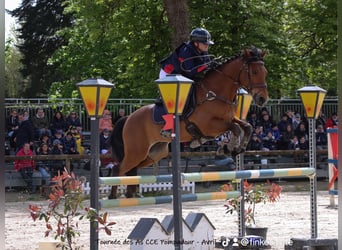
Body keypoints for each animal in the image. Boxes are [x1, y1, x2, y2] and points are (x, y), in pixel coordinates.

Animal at [109, 47, 268, 198]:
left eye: (264, 72)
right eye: (254, 72)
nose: (262, 99)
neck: (215, 93)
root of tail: (129, 118)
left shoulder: (228, 119)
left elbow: (247, 127)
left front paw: (237, 148)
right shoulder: (208, 126)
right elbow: (235, 128)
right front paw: (229, 148)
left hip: (154, 153)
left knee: (131, 170)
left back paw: (129, 195)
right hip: (136, 151)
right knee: (119, 168)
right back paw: (112, 196)